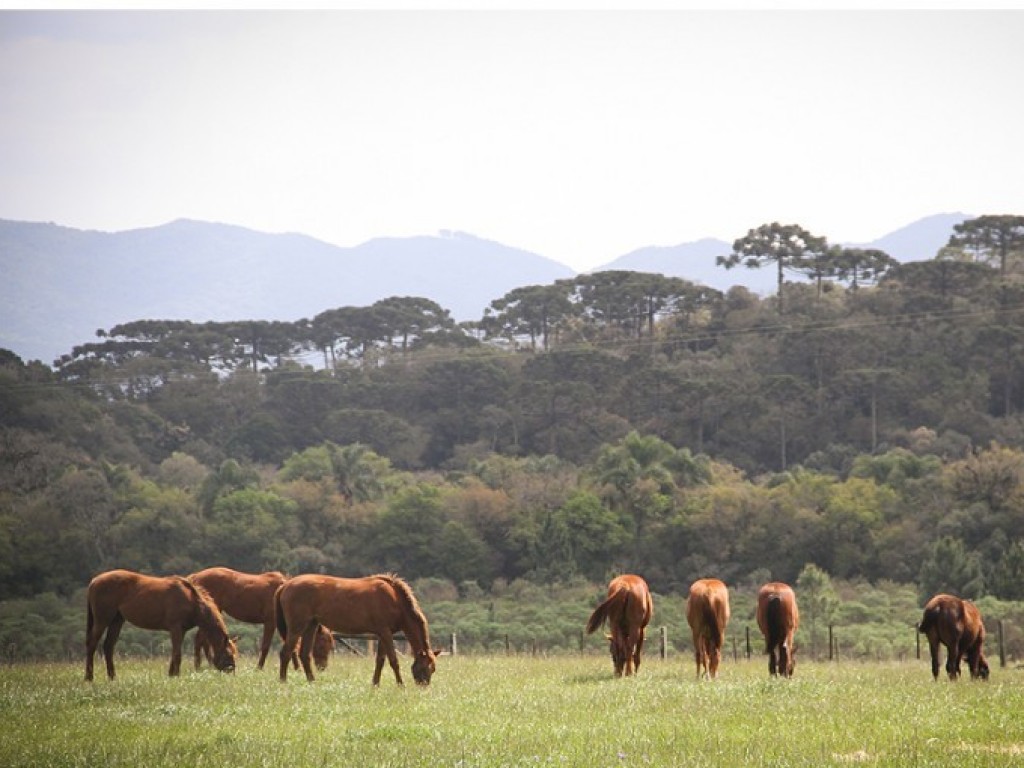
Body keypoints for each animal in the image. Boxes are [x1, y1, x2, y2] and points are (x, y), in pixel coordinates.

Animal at [84, 569, 237, 684]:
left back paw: (112, 677)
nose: (232, 673)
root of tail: (94, 581)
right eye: (228, 654)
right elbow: (177, 654)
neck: (191, 600)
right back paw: (89, 678)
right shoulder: (175, 628)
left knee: (108, 646)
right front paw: (176, 676)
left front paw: (171, 675)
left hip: (117, 621)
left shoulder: (181, 631)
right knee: (92, 644)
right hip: (102, 620)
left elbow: (175, 652)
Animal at [276, 573, 440, 688]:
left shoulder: (382, 634)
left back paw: (312, 682)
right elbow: (394, 660)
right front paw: (401, 685)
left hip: (311, 625)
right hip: (297, 627)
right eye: (425, 668)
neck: (394, 598)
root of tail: (286, 585)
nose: (424, 687)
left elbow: (380, 660)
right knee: (285, 653)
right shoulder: (385, 633)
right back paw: (283, 682)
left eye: (433, 669)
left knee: (304, 655)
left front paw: (375, 684)